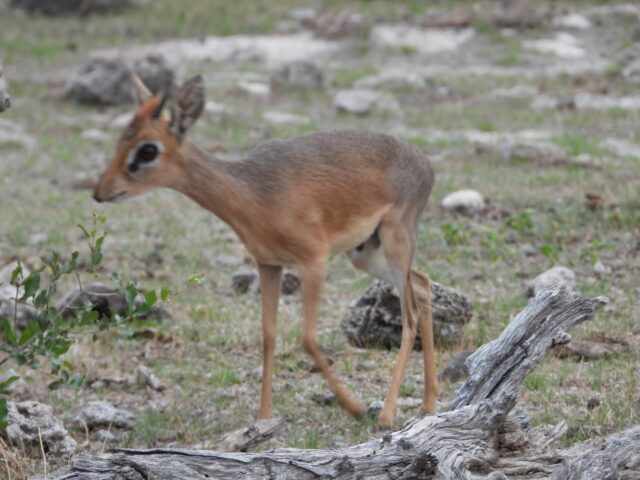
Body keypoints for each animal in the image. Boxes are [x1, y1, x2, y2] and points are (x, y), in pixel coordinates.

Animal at [92, 75, 438, 428]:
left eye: (148, 149)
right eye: (123, 137)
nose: (100, 191)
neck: (253, 194)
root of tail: (424, 162)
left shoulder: (313, 261)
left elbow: (307, 338)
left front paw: (354, 407)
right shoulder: (268, 264)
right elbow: (269, 336)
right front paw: (263, 417)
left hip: (394, 243)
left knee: (409, 314)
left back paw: (386, 414)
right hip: (364, 254)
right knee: (423, 284)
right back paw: (428, 403)